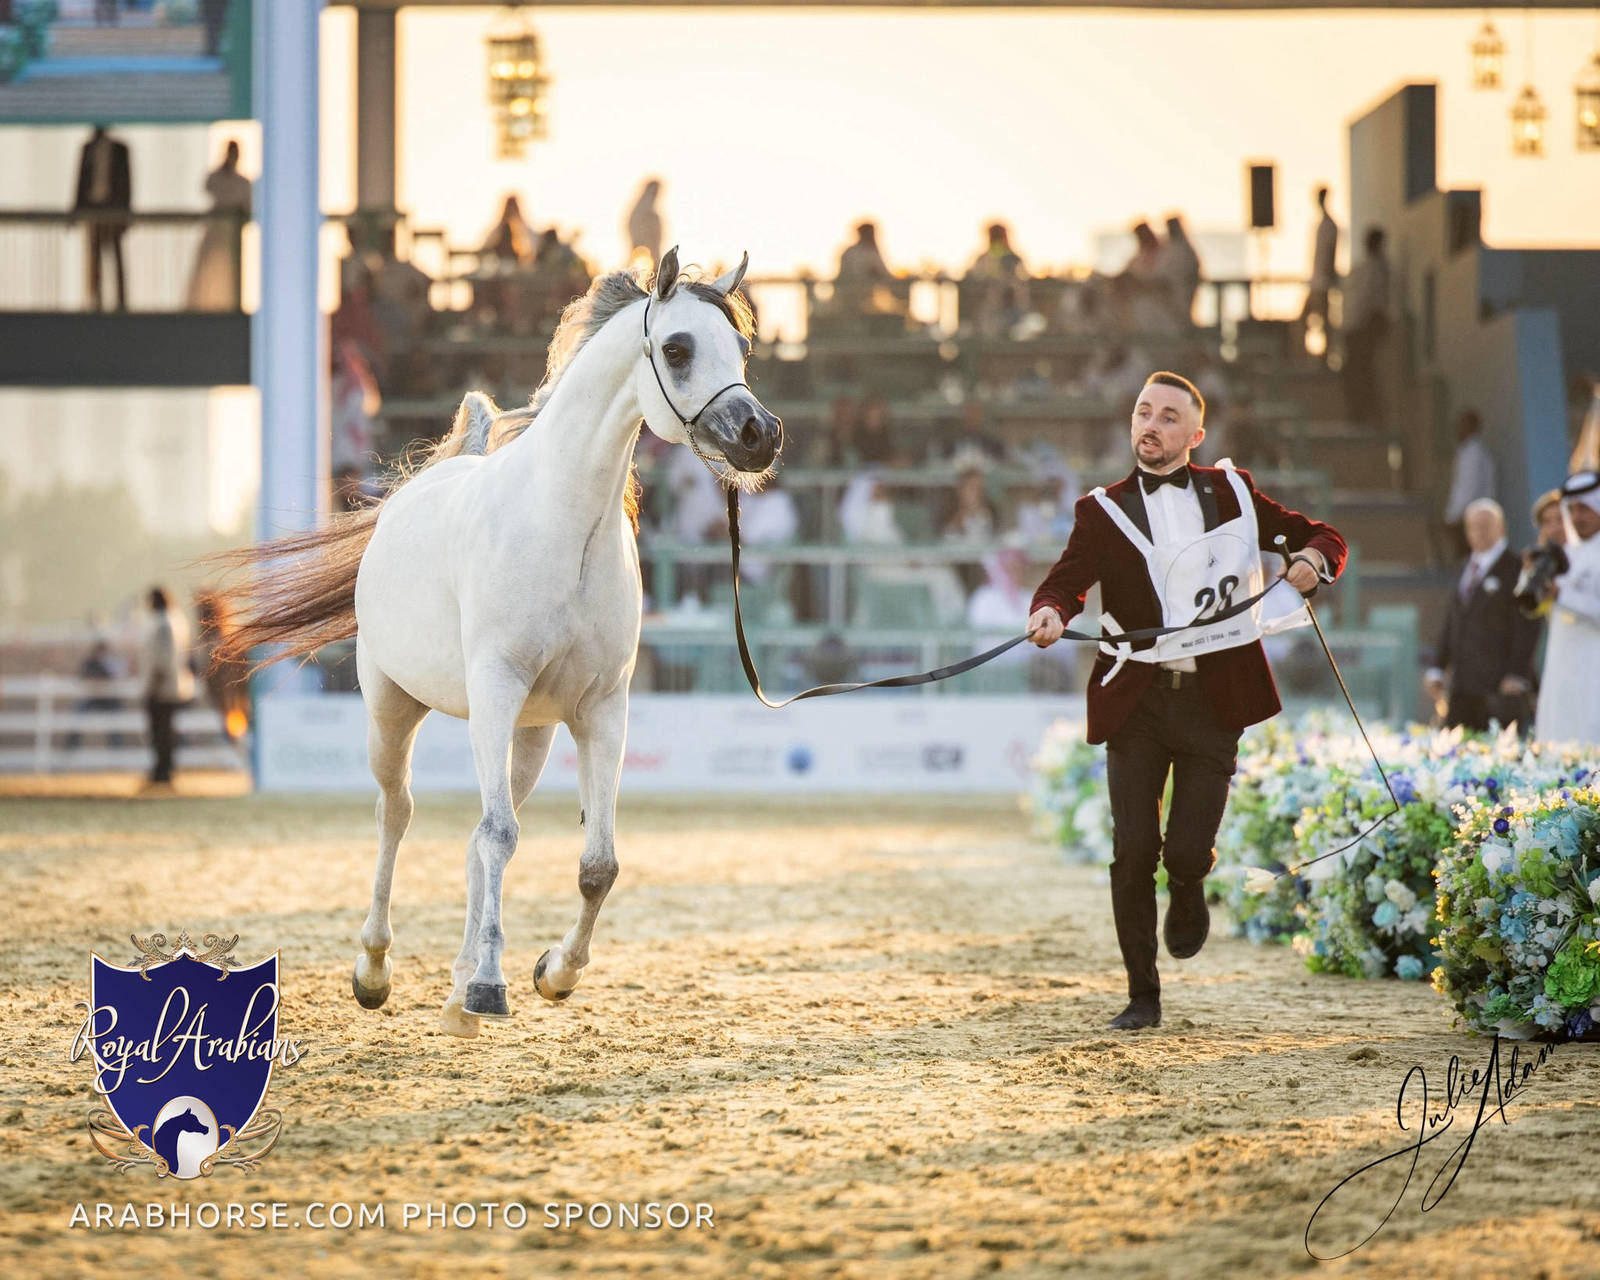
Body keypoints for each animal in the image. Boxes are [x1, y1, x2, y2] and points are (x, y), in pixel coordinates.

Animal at [211, 248, 781, 1035]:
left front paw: (552, 974)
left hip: (529, 736)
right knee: (400, 814)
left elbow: (595, 864)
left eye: (742, 349)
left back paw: (455, 991)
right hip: (395, 709)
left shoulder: (602, 709)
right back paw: (377, 969)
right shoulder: (496, 689)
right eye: (677, 348)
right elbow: (500, 836)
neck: (562, 525)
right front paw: (491, 985)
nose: (761, 436)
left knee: (478, 838)